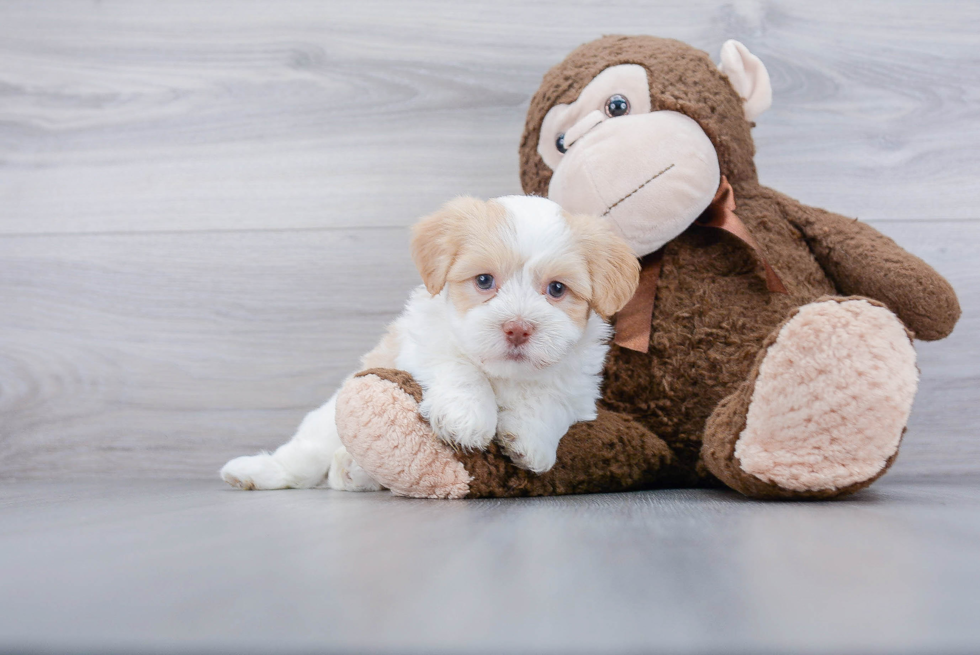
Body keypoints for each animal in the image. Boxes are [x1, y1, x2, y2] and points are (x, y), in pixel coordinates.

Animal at [218, 196, 640, 492]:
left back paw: (353, 471)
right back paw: (262, 471)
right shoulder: (422, 343)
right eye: (484, 281)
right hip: (324, 424)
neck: (504, 375)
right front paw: (467, 416)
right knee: (305, 454)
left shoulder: (578, 388)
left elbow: (549, 398)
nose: (518, 328)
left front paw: (531, 438)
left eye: (556, 289)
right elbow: (458, 365)